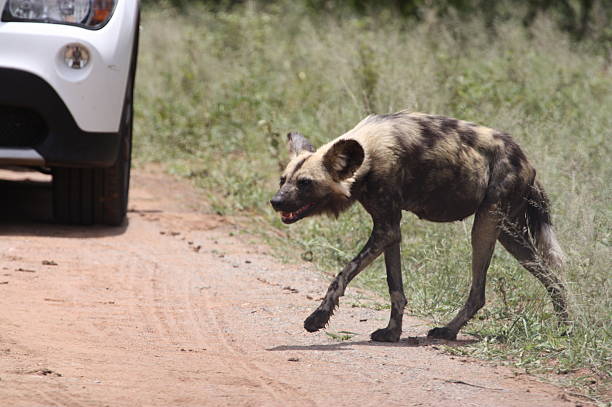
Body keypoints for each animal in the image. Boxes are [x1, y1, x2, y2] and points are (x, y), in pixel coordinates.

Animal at [270, 110, 568, 342]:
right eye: (283, 179)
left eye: (305, 183)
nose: (275, 201)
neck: (369, 153)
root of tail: (527, 162)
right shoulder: (389, 230)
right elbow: (395, 288)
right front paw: (392, 333)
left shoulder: (386, 229)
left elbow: (343, 275)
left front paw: (318, 318)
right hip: (509, 235)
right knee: (553, 279)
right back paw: (564, 329)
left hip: (485, 227)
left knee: (480, 292)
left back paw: (448, 331)